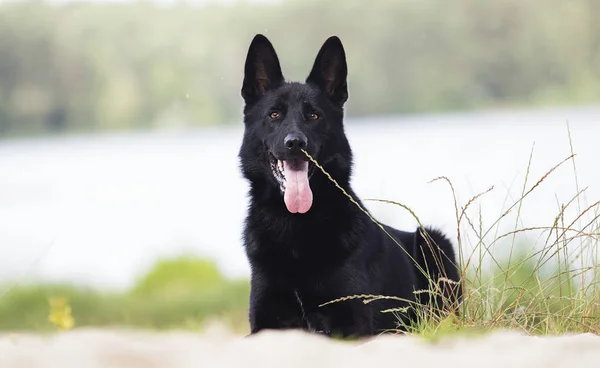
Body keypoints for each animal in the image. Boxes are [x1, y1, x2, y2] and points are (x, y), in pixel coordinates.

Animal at [237, 34, 462, 340]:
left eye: (314, 116)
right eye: (274, 115)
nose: (295, 144)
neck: (294, 225)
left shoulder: (352, 322)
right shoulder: (265, 323)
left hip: (432, 240)